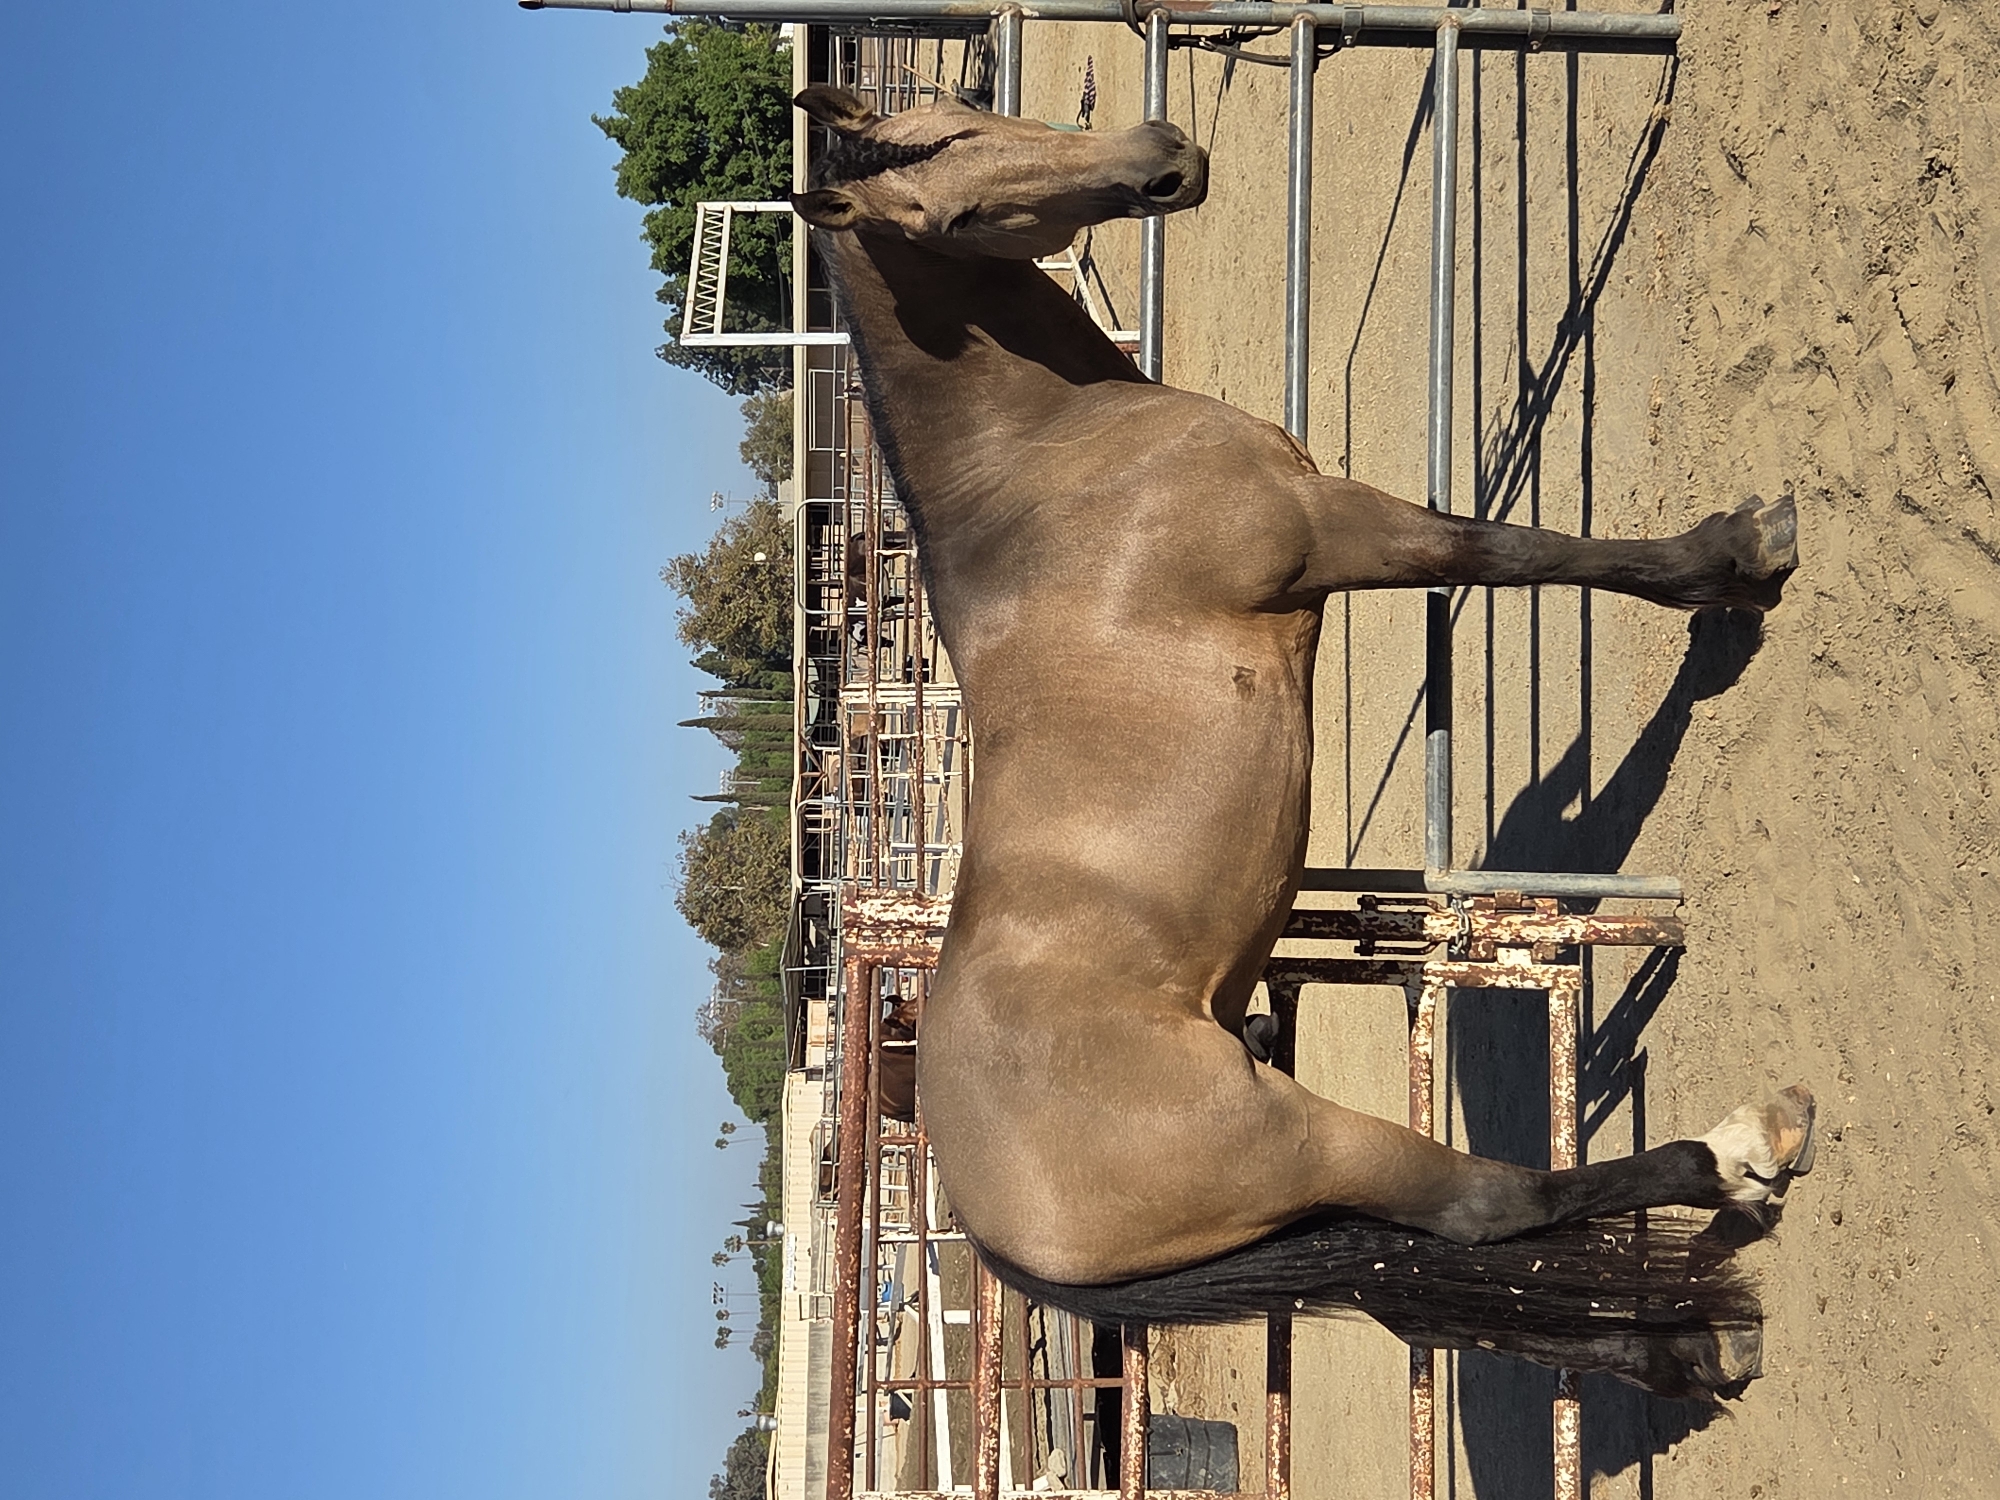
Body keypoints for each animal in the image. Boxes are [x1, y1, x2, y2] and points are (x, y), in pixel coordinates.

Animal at [791, 85, 1814, 1394]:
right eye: (947, 213)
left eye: (961, 111)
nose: (1161, 161)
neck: (1042, 469)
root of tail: (992, 1214)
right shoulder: (1333, 531)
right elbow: (1504, 549)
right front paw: (1730, 562)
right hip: (1308, 1145)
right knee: (1492, 1207)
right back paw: (1741, 1153)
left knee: (1432, 1286)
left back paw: (1683, 1345)